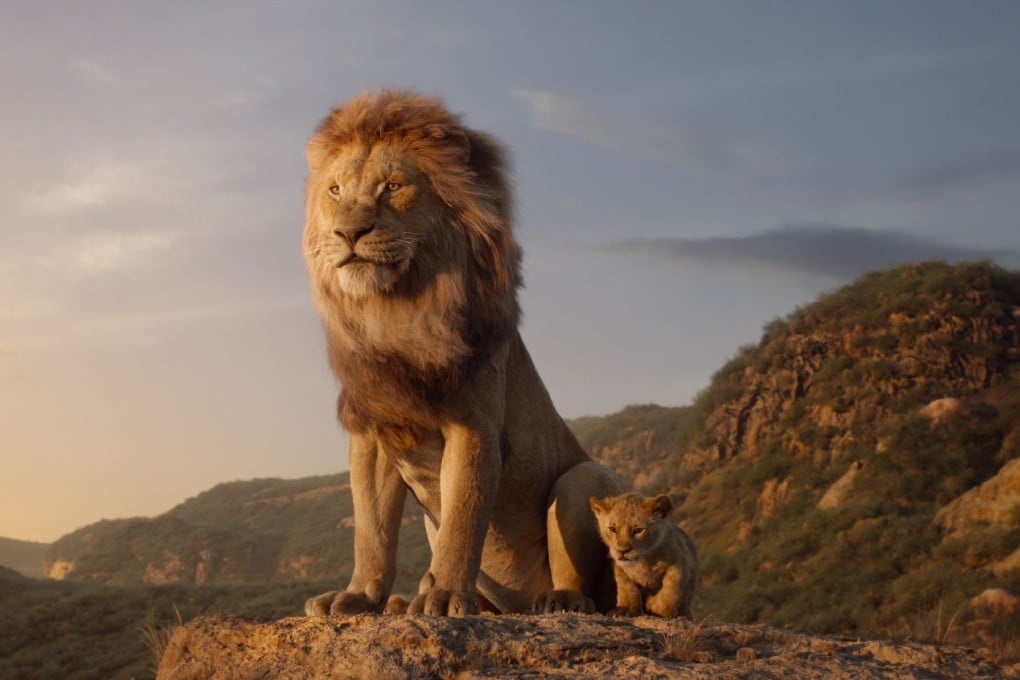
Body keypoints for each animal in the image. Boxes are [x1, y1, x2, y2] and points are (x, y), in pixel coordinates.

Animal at [301, 90, 622, 617]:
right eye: (334, 191)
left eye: (392, 186)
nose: (348, 233)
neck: (396, 312)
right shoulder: (374, 432)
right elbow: (371, 530)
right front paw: (359, 595)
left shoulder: (474, 425)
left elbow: (463, 519)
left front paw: (446, 596)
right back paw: (402, 602)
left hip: (584, 478)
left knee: (585, 582)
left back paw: (558, 600)